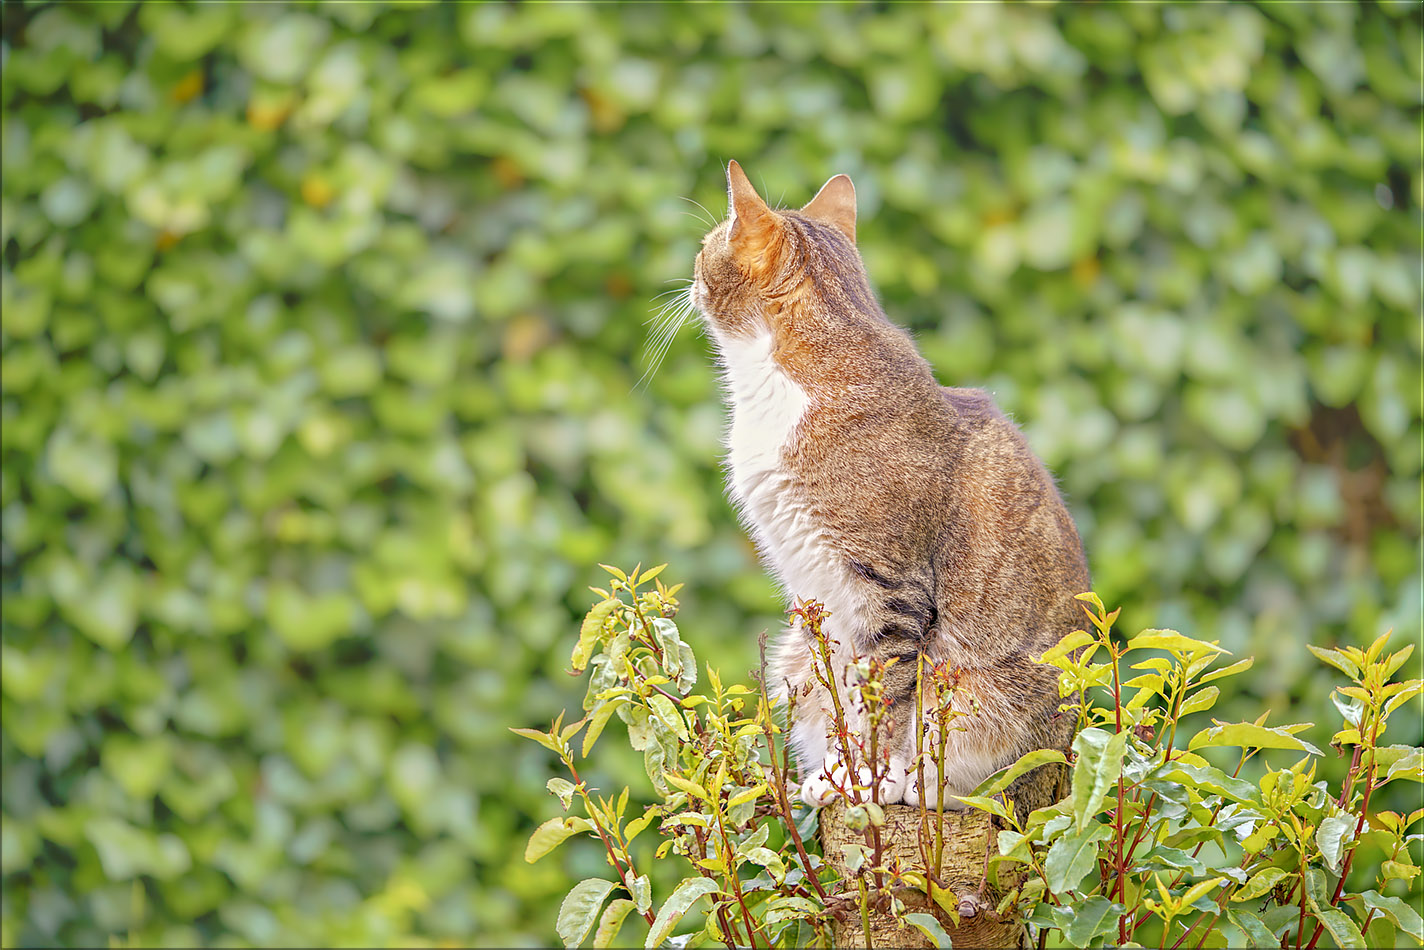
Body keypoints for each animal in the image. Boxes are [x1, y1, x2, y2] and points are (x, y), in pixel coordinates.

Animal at [689, 159, 1087, 808]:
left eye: (704, 247)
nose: (690, 270)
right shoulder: (823, 598)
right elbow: (845, 692)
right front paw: (840, 773)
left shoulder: (891, 588)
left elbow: (889, 694)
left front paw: (881, 777)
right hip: (794, 651)